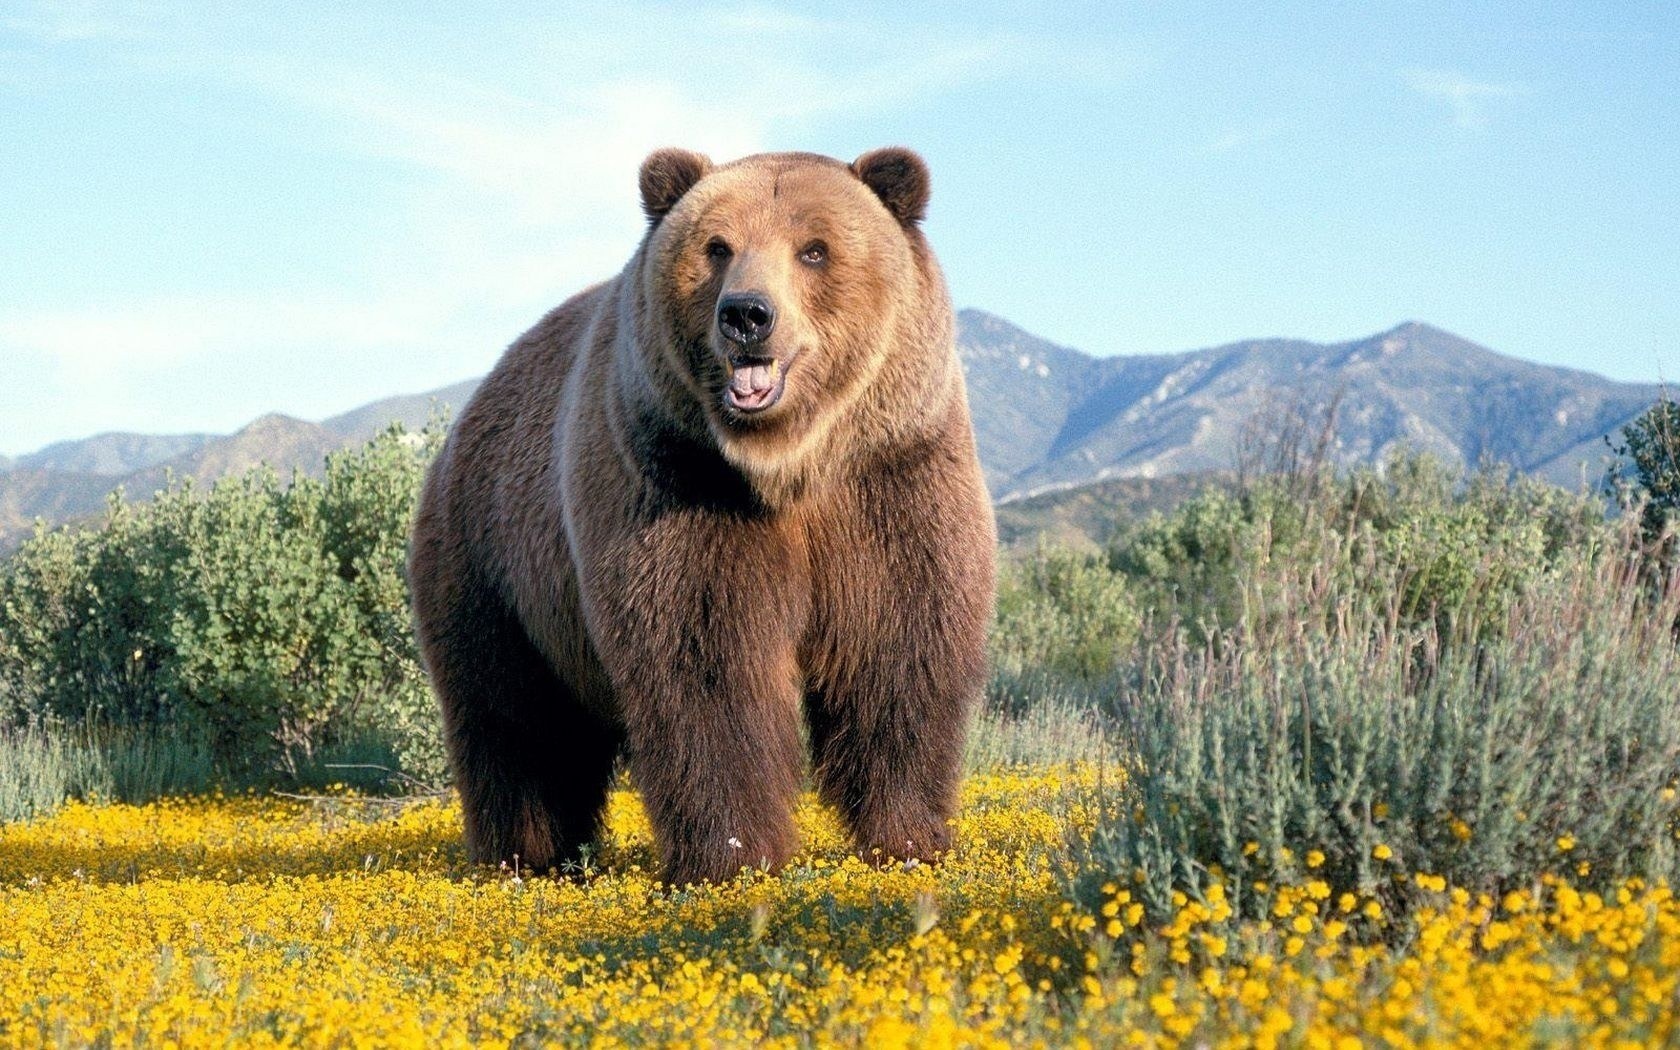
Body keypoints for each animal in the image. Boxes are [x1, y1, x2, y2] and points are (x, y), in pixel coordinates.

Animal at [408, 147, 996, 886]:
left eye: (814, 248)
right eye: (718, 247)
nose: (747, 314)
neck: (787, 465)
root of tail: (466, 416)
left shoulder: (891, 479)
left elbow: (898, 647)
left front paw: (909, 838)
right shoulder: (678, 485)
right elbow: (706, 664)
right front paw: (733, 856)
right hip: (495, 565)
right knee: (515, 719)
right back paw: (525, 856)